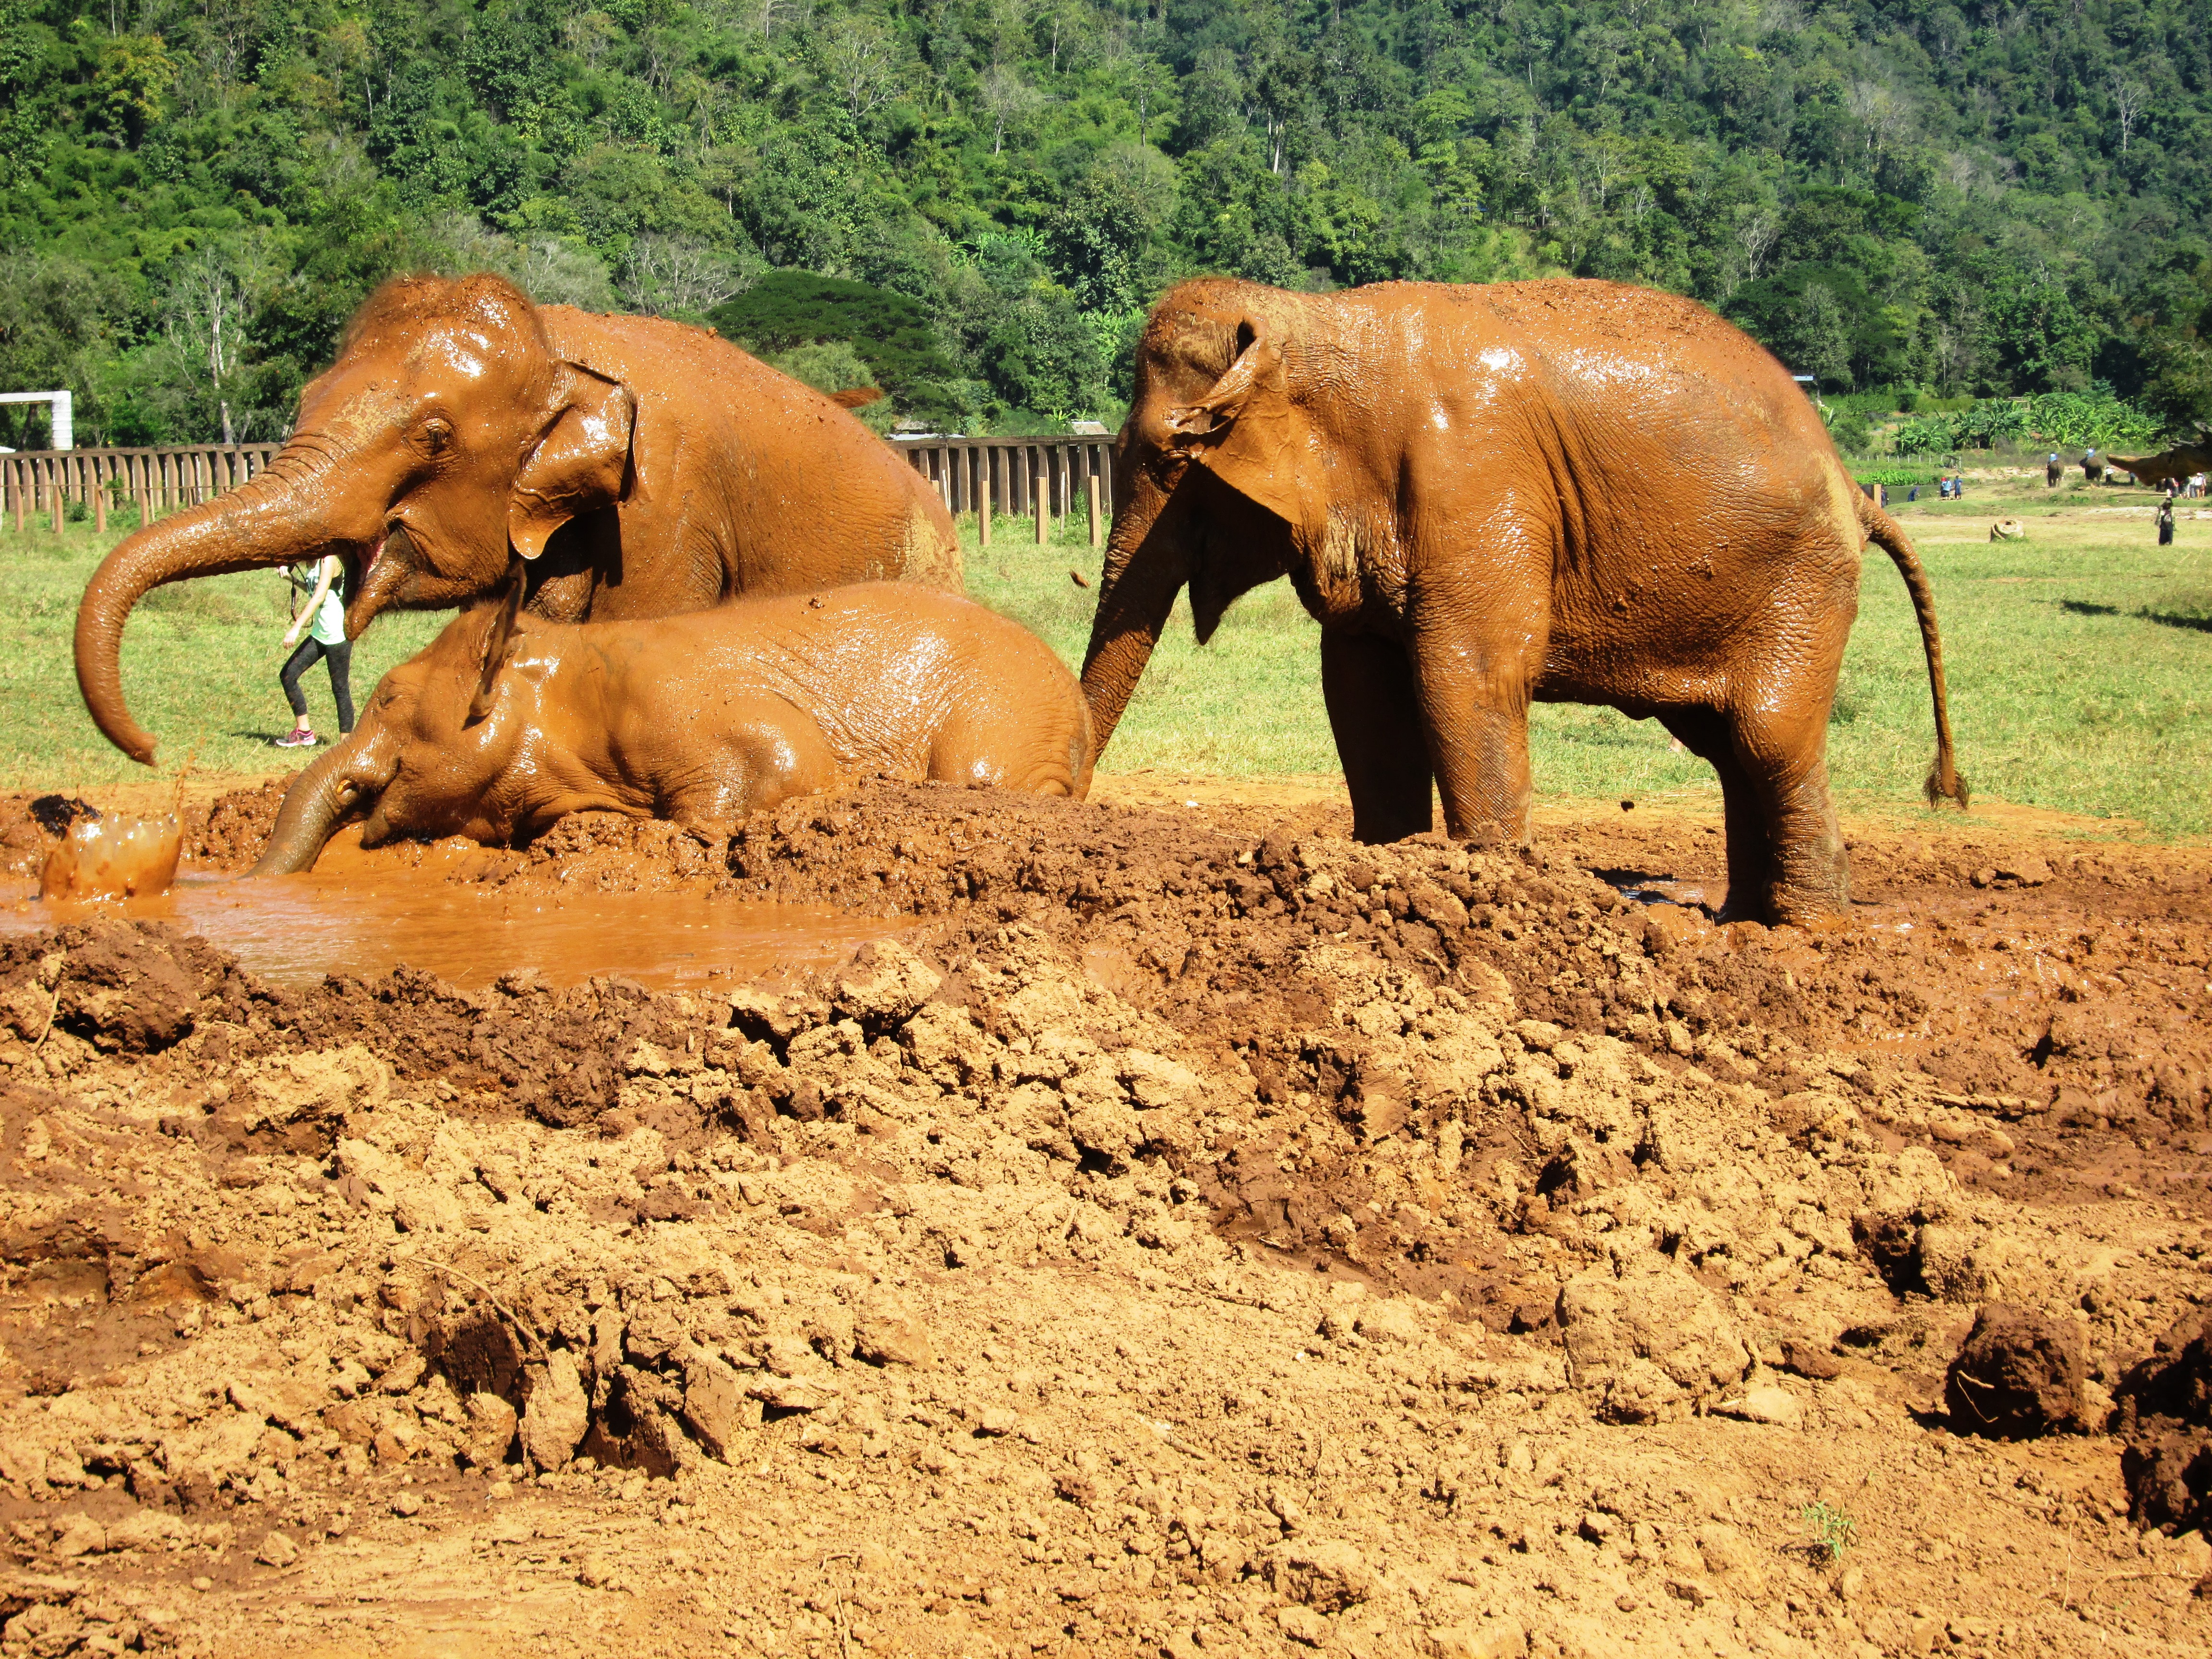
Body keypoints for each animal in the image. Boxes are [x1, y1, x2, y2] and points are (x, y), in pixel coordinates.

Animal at [1079, 277, 1967, 926]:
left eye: (1173, 455)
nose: (1066, 812)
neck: (1317, 318)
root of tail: (1858, 488)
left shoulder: (1473, 473)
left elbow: (1466, 676)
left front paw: (1491, 897)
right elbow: (1362, 695)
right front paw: (1383, 870)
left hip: (1800, 586)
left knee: (1769, 739)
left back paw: (1804, 936)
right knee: (1726, 746)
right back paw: (1741, 924)